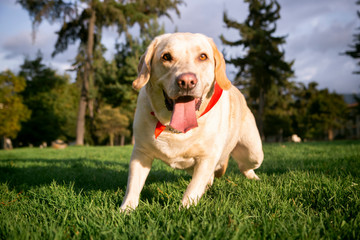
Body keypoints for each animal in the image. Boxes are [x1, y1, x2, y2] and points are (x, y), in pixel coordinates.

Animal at [119, 32, 262, 211]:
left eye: (203, 56)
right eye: (166, 57)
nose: (186, 81)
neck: (173, 128)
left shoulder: (207, 157)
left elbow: (193, 187)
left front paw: (184, 210)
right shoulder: (140, 153)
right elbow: (133, 185)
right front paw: (126, 210)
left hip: (253, 152)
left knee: (245, 166)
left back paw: (254, 178)